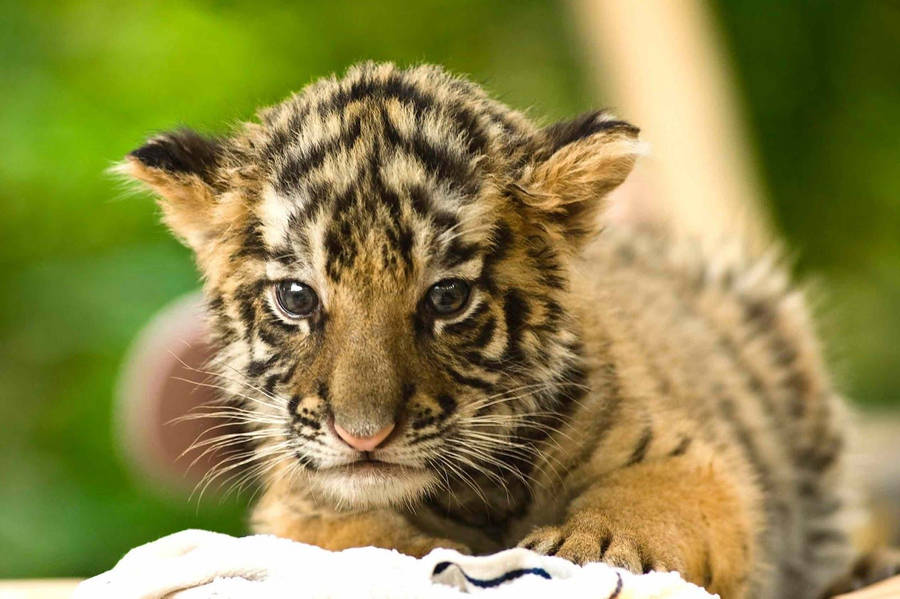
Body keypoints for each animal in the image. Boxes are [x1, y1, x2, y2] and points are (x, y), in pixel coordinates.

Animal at [118, 62, 894, 598]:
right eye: (297, 298)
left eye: (447, 297)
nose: (362, 436)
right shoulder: (299, 502)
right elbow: (352, 539)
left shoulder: (692, 457)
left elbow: (649, 501)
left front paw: (591, 548)